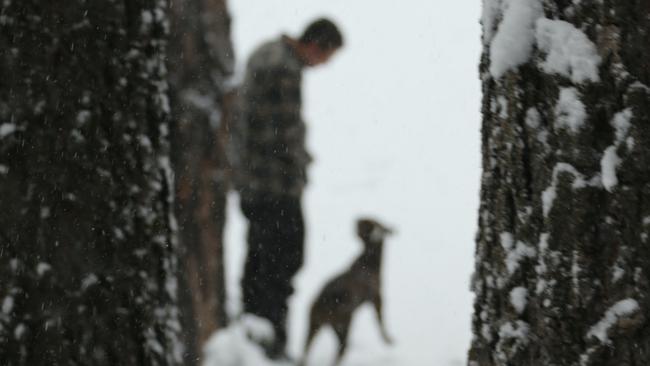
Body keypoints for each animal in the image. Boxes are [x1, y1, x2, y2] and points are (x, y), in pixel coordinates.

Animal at [298, 219, 390, 364]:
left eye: (366, 223)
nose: (357, 219)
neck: (369, 261)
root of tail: (326, 301)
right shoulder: (377, 298)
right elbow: (380, 321)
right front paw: (389, 340)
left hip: (313, 321)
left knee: (306, 348)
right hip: (343, 324)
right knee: (342, 349)